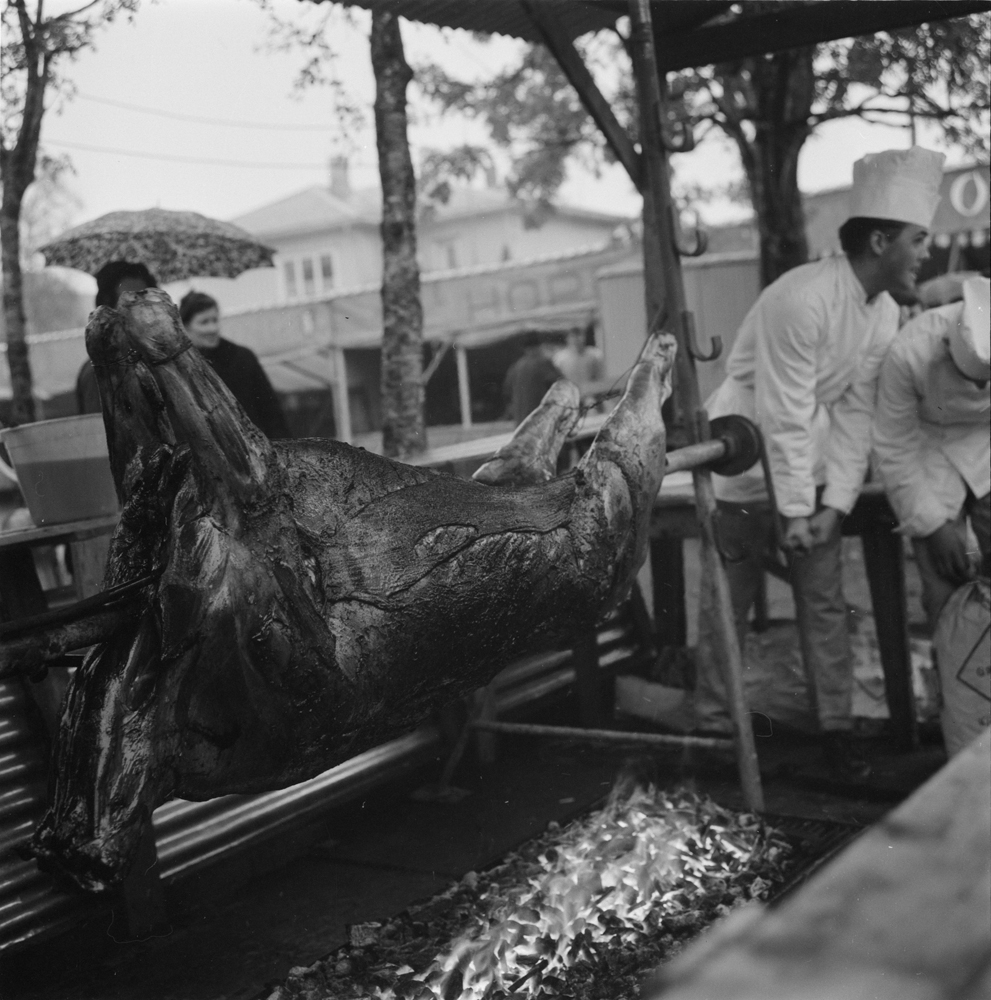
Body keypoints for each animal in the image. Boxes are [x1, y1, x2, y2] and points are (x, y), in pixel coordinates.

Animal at [25, 290, 676, 892]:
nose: (66, 848)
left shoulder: (294, 647)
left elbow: (254, 477)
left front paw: (140, 323)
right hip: (553, 501)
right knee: (526, 458)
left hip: (607, 516)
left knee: (617, 446)